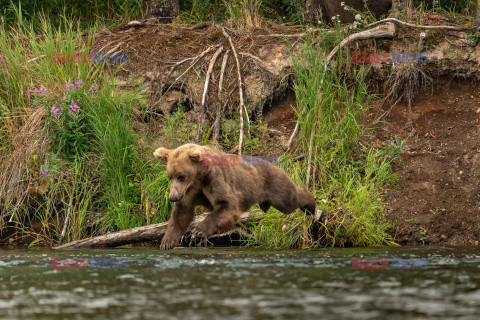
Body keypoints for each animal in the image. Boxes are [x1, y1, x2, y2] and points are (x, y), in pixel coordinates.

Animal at [154, 143, 316, 250]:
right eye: (170, 176)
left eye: (181, 176)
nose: (173, 197)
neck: (199, 176)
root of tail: (275, 164)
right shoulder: (190, 190)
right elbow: (181, 212)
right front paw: (167, 241)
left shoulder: (214, 179)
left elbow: (227, 204)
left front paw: (199, 230)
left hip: (272, 183)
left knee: (288, 199)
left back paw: (311, 204)